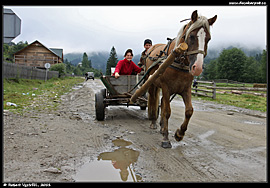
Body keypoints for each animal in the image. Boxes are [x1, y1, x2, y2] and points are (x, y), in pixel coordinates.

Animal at [146, 10, 217, 148]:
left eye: (208, 38)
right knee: (153, 100)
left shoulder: (185, 89)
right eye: (192, 36)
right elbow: (167, 111)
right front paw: (166, 139)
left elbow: (189, 111)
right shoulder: (166, 87)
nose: (197, 67)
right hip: (152, 83)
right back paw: (153, 122)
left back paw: (162, 127)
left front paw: (179, 133)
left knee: (161, 102)